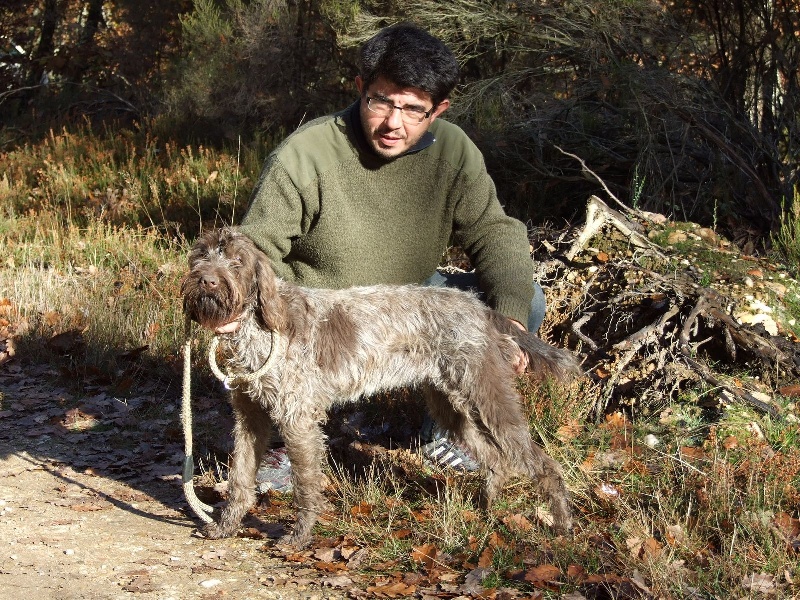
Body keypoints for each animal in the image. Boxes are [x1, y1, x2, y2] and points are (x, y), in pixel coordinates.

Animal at [184, 227, 580, 548]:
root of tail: (479, 308)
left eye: (237, 261)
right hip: (451, 406)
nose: (207, 281)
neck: (258, 328)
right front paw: (225, 527)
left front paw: (299, 538)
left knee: (543, 464)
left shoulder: (298, 420)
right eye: (201, 256)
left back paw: (562, 525)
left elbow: (306, 484)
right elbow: (240, 477)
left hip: (489, 397)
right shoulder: (250, 417)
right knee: (495, 460)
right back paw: (487, 510)